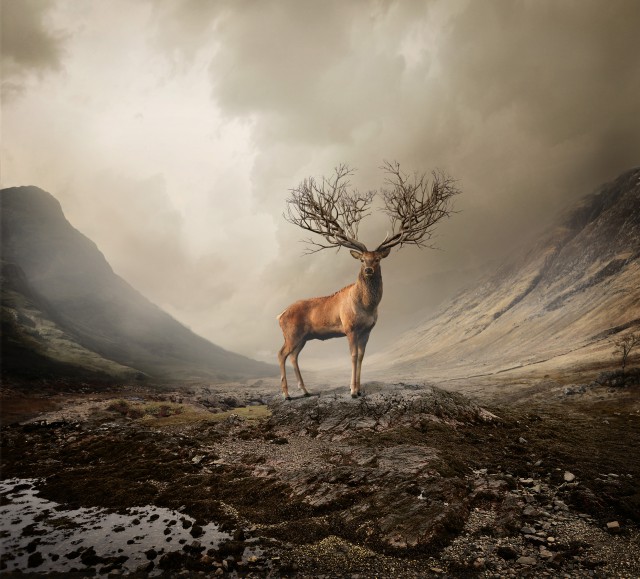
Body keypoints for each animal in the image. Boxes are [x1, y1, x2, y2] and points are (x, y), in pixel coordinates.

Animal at [277, 161, 460, 400]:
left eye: (378, 258)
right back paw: (287, 394)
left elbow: (363, 356)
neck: (366, 306)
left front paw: (360, 388)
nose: (369, 269)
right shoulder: (349, 327)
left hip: (304, 337)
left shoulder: (368, 330)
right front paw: (353, 391)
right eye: (363, 259)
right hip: (292, 333)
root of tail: (279, 315)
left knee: (293, 356)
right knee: (281, 354)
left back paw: (306, 391)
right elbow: (353, 356)